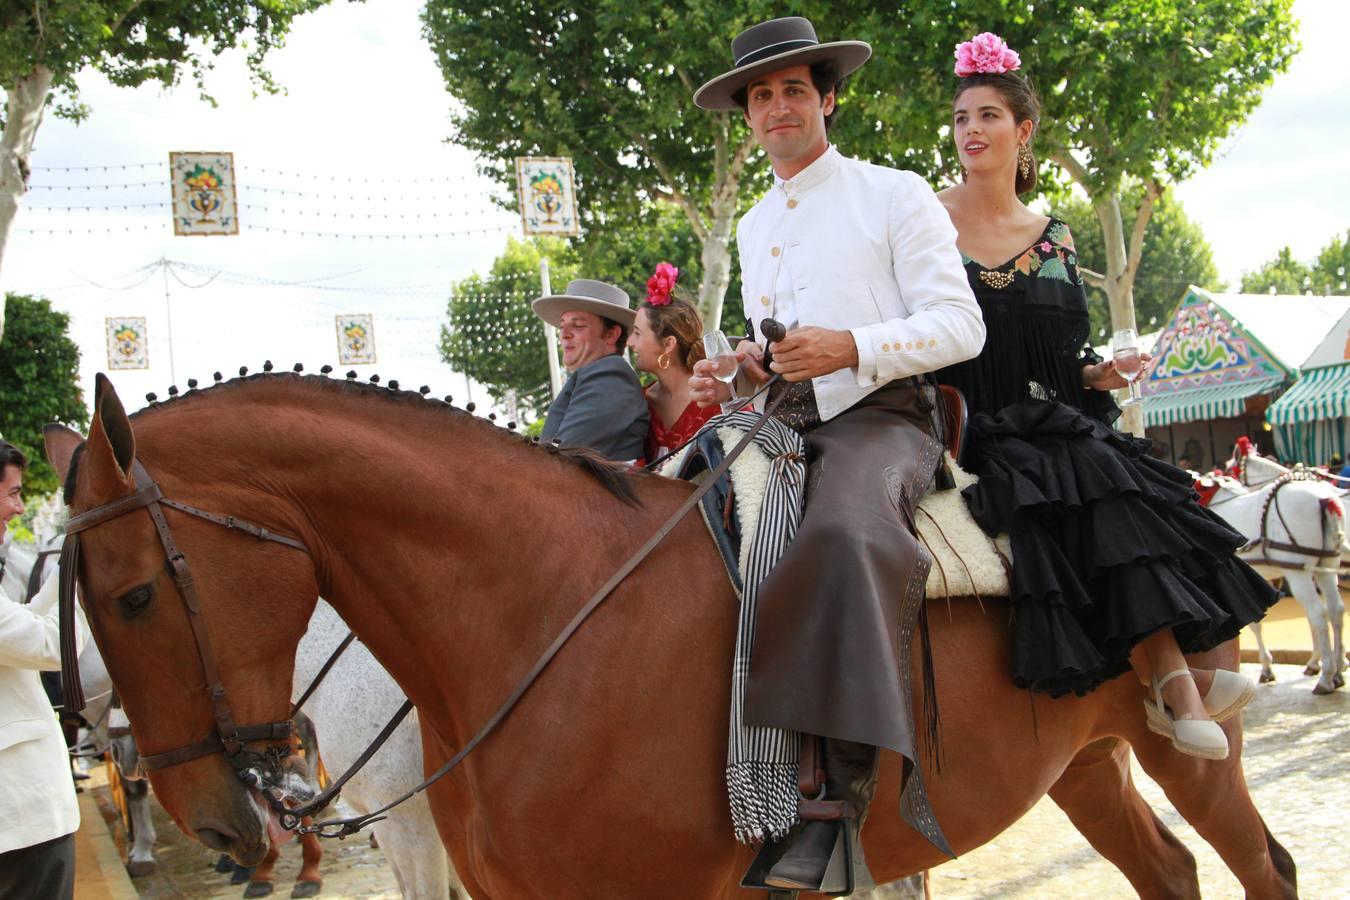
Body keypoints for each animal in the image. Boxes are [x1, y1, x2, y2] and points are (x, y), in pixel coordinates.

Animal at [1209, 461, 1344, 696]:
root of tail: (1324, 498)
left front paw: (1265, 667)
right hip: (1325, 567)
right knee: (1336, 610)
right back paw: (1336, 671)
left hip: (1299, 571)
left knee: (1318, 613)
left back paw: (1326, 677)